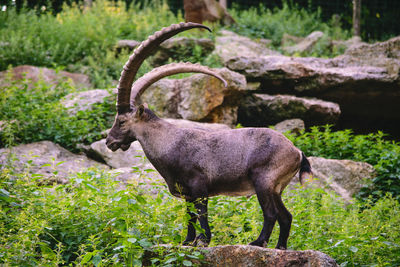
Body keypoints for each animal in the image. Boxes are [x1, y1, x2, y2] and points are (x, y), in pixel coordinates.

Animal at [106, 22, 312, 250]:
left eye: (121, 121)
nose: (109, 141)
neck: (170, 143)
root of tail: (297, 151)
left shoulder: (199, 187)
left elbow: (202, 214)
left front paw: (203, 241)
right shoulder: (186, 193)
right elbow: (189, 216)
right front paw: (187, 242)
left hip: (264, 182)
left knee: (271, 213)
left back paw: (257, 243)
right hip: (277, 188)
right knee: (286, 216)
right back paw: (280, 247)